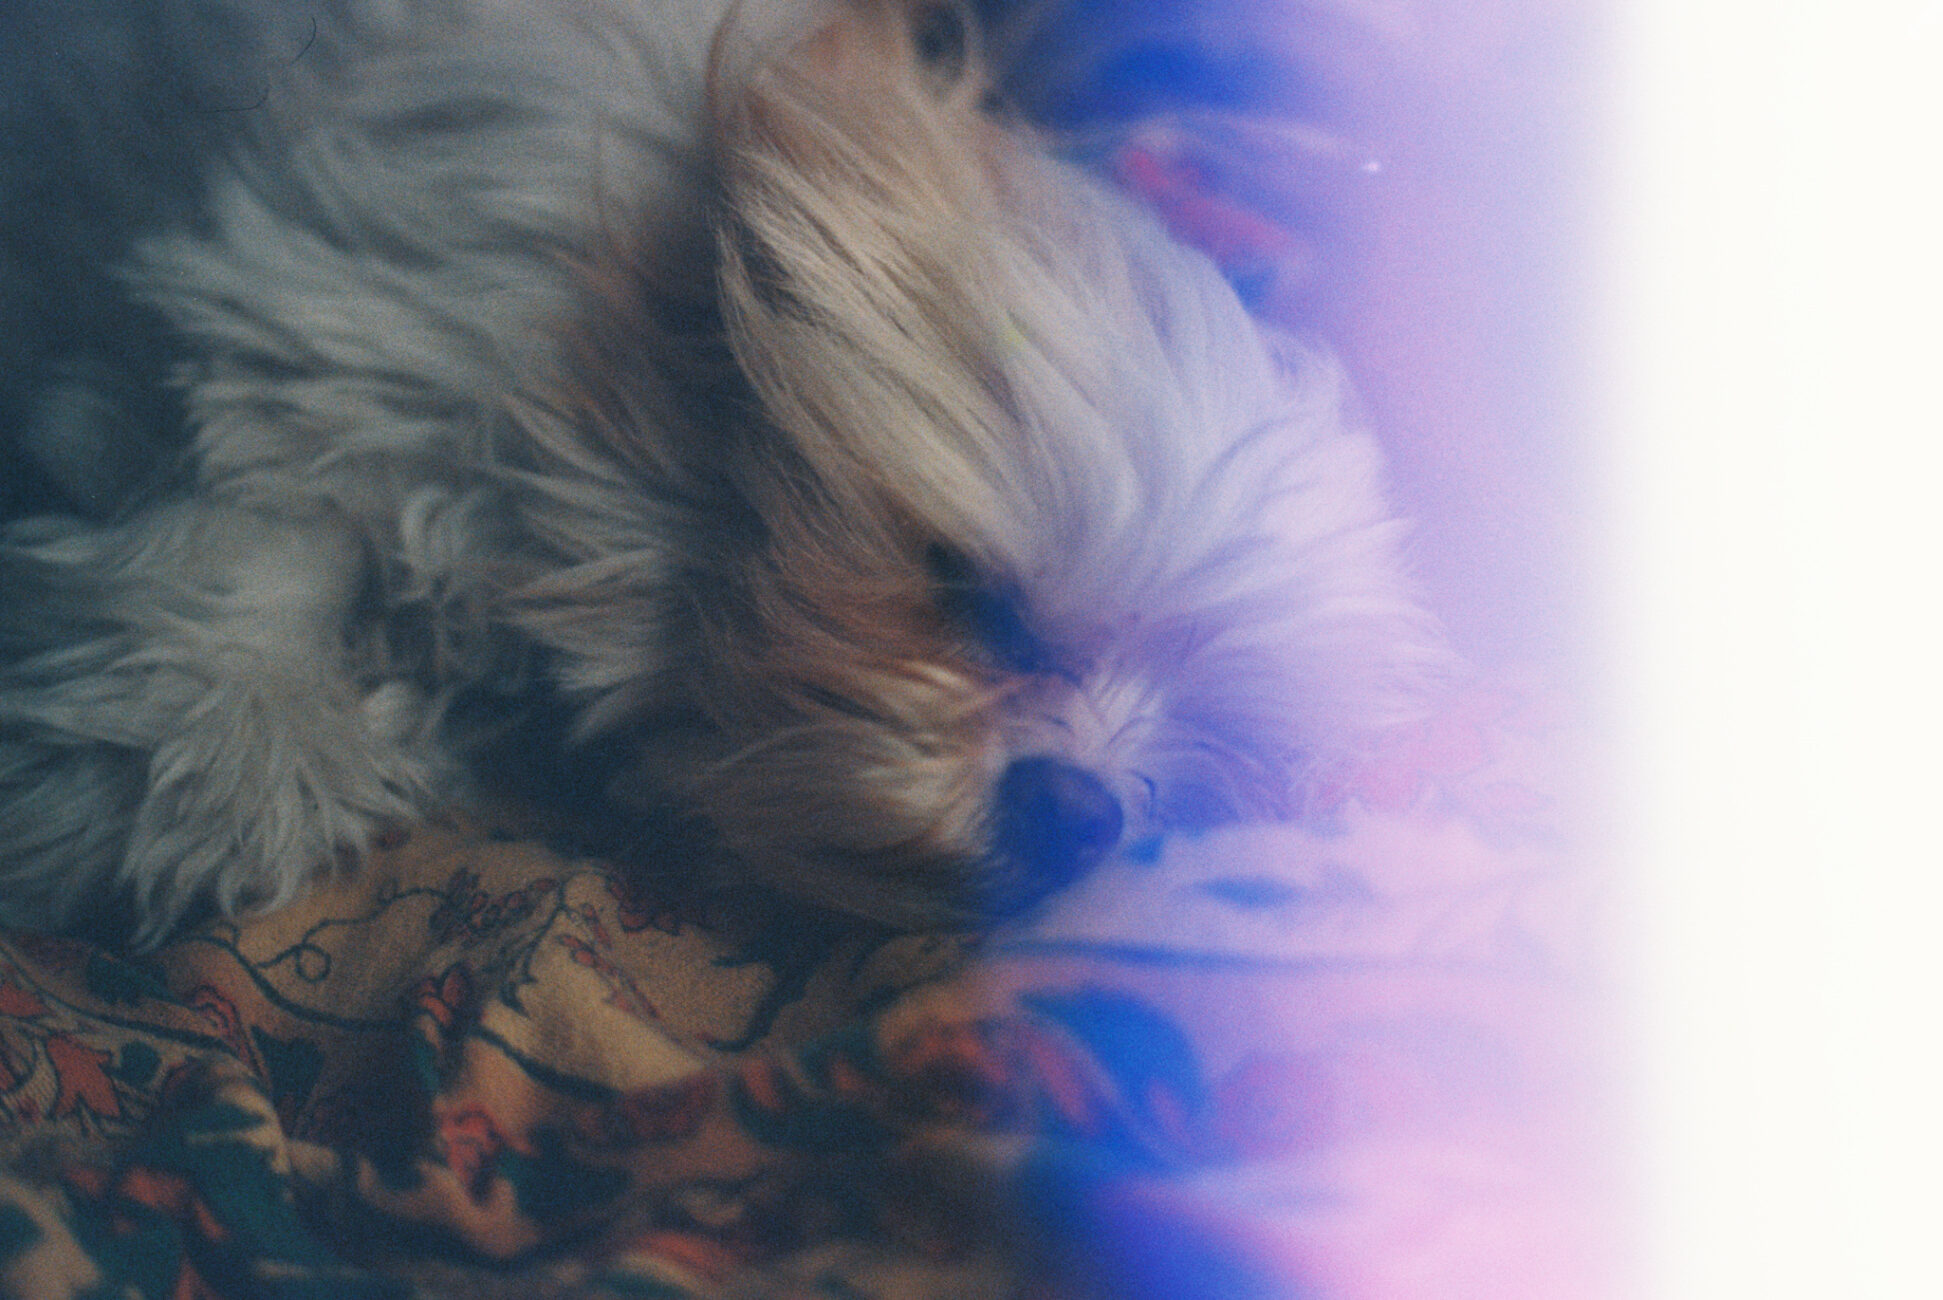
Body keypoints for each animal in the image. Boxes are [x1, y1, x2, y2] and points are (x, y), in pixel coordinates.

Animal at [0, 0, 1445, 944]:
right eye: (968, 596)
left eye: (1205, 768)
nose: (1080, 810)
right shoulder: (320, 329)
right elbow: (248, 541)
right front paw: (233, 759)